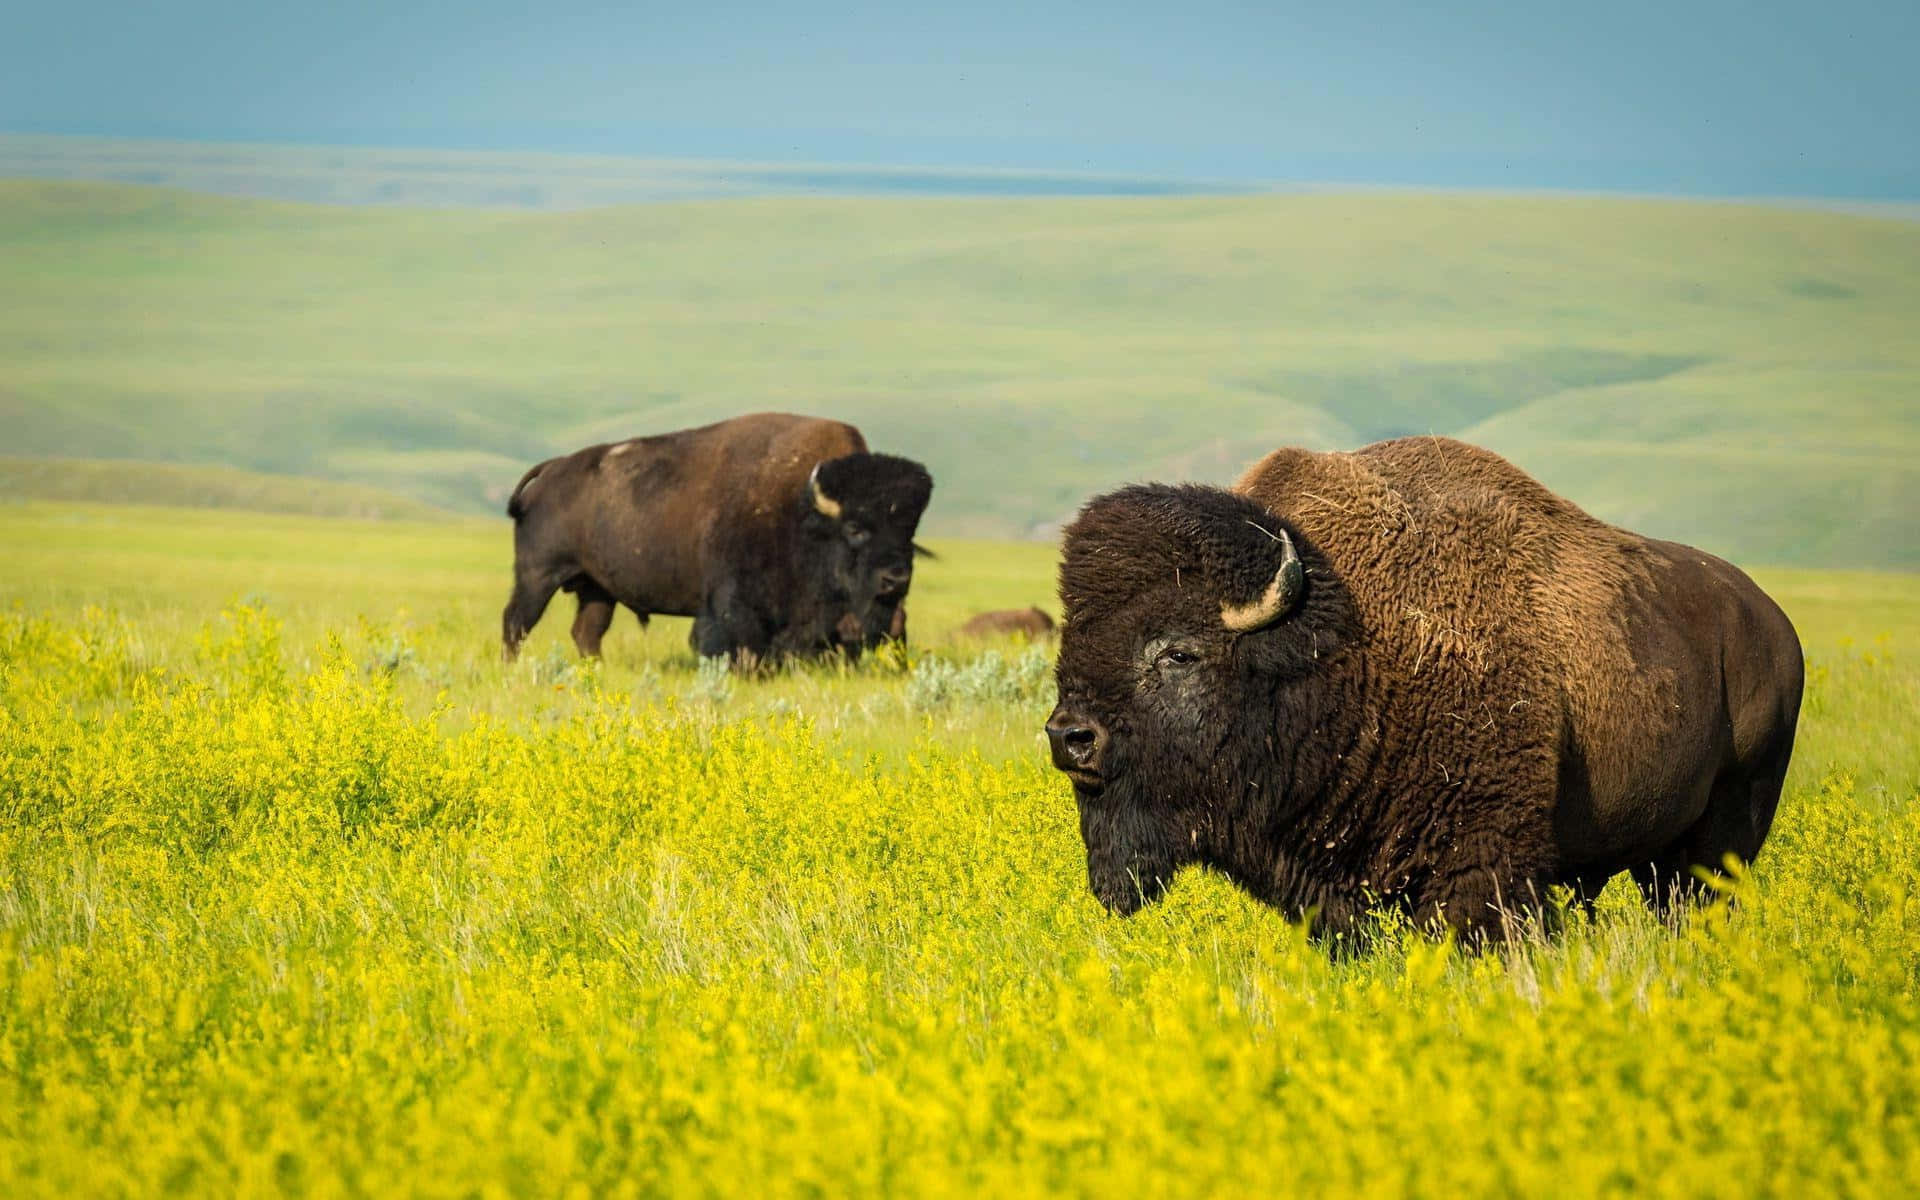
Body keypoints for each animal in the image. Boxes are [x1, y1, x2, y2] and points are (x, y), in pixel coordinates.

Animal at [506, 410, 933, 664]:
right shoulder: (731, 602)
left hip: (597, 589)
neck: (801, 508)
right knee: (516, 622)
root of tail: (553, 468)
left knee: (586, 632)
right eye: (854, 529)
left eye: (909, 532)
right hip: (538, 576)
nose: (896, 578)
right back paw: (512, 670)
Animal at [1044, 435, 1804, 940]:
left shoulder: (1482, 867)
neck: (1346, 648)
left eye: (1179, 652)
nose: (1070, 736)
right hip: (1661, 852)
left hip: (1724, 836)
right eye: (1070, 641)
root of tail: (1772, 624)